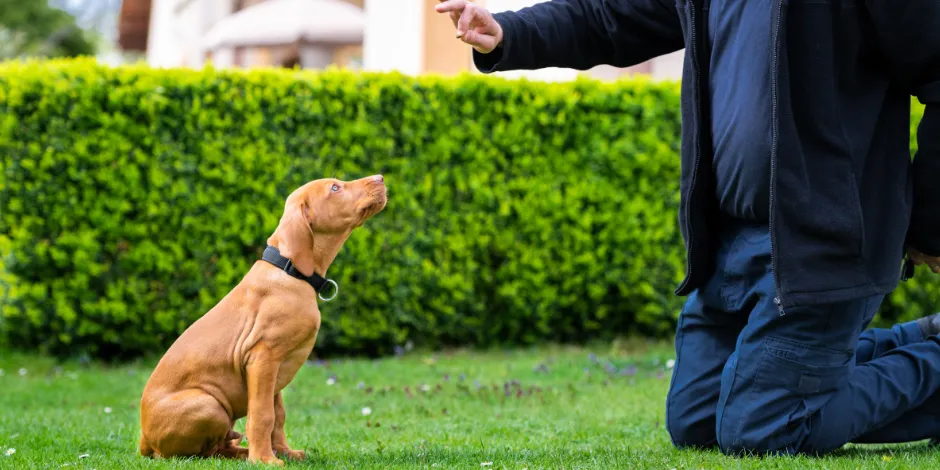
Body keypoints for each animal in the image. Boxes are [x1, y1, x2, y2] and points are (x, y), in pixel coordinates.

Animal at [139, 174, 386, 464]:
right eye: (335, 188)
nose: (380, 177)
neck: (290, 271)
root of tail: (143, 441)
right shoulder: (262, 357)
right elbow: (262, 415)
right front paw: (265, 460)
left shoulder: (277, 367)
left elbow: (278, 415)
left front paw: (283, 452)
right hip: (208, 405)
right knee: (196, 454)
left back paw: (242, 450)